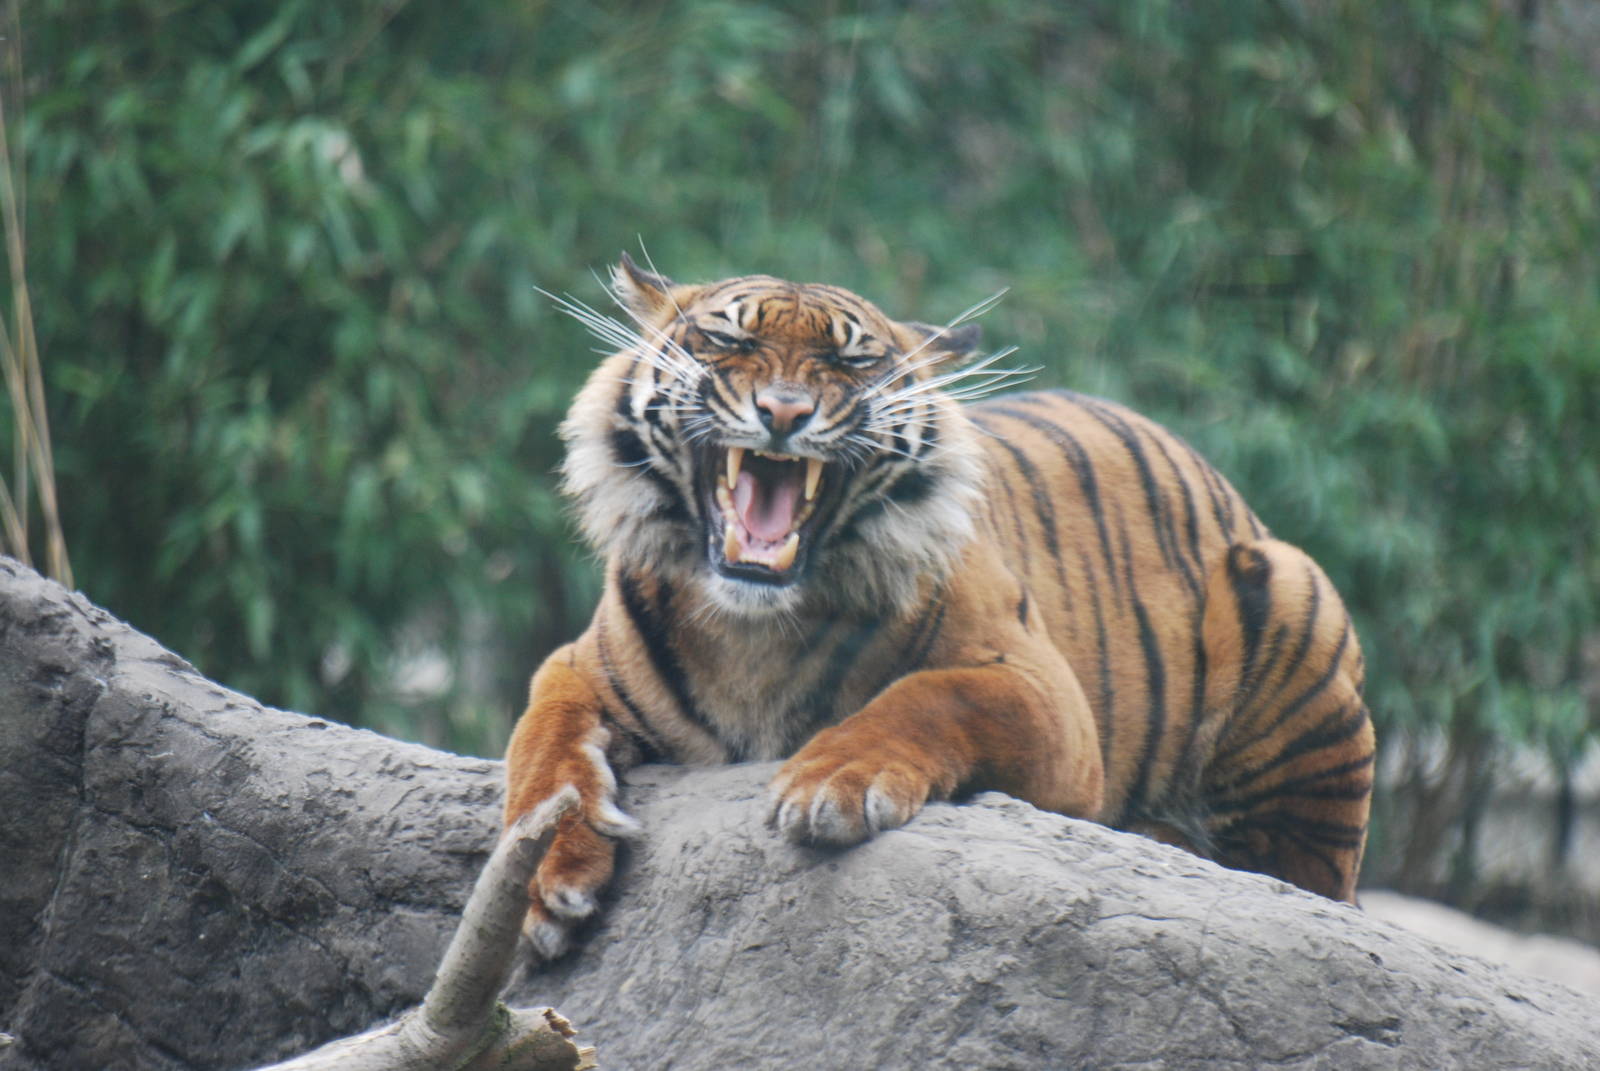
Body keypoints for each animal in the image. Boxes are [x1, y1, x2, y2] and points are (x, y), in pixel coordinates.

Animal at [503, 254, 1376, 957]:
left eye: (848, 361)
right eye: (729, 343)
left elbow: (931, 695)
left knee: (1302, 875)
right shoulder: (580, 664)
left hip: (1292, 593)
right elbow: (540, 744)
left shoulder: (1041, 690)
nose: (783, 412)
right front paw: (546, 878)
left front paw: (831, 780)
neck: (751, 625)